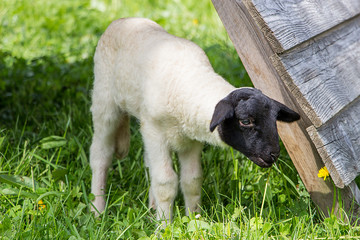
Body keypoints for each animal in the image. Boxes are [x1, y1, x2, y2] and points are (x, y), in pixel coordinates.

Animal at [90, 17, 300, 222]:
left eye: (274, 120)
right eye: (245, 121)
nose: (273, 154)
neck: (187, 83)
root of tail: (122, 20)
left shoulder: (191, 140)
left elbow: (192, 180)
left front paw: (193, 217)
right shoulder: (155, 132)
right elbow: (166, 181)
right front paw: (165, 225)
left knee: (149, 162)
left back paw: (151, 208)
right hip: (104, 101)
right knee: (101, 155)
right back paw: (98, 210)